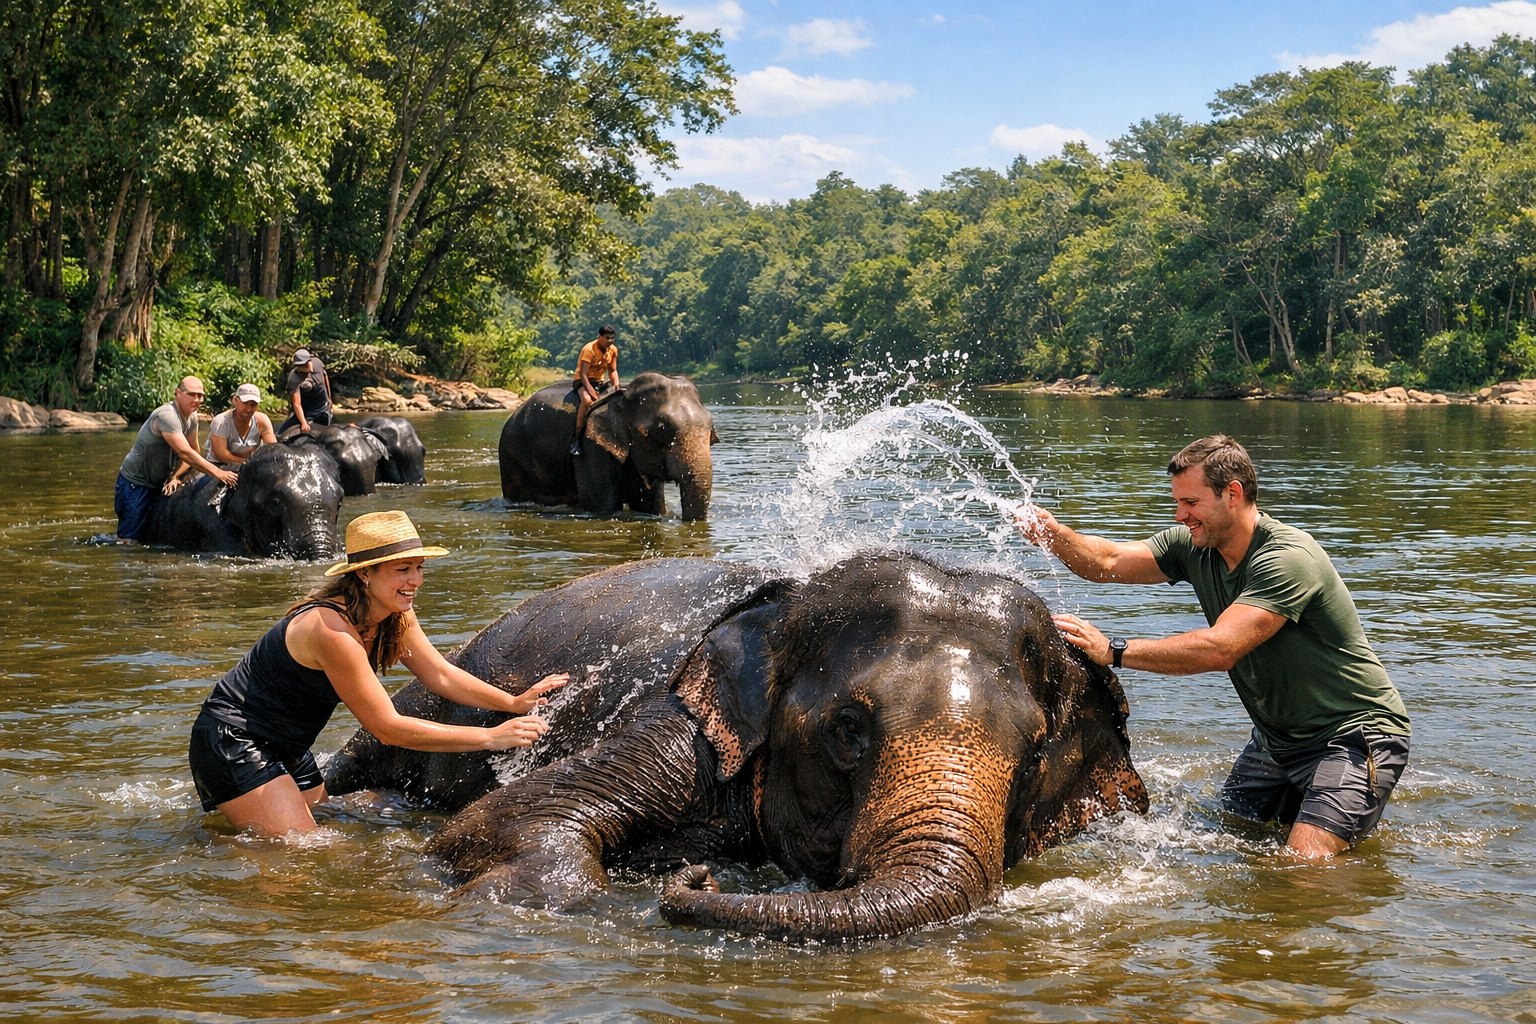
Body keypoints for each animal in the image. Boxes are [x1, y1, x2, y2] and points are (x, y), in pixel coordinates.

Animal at [324, 552, 1149, 942]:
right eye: (848, 730)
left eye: (1035, 754)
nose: (699, 877)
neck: (788, 604)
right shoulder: (677, 727)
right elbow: (494, 825)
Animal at [497, 371, 716, 520]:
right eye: (661, 429)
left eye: (711, 429)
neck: (624, 397)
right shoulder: (590, 447)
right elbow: (604, 507)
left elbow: (650, 504)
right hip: (511, 456)